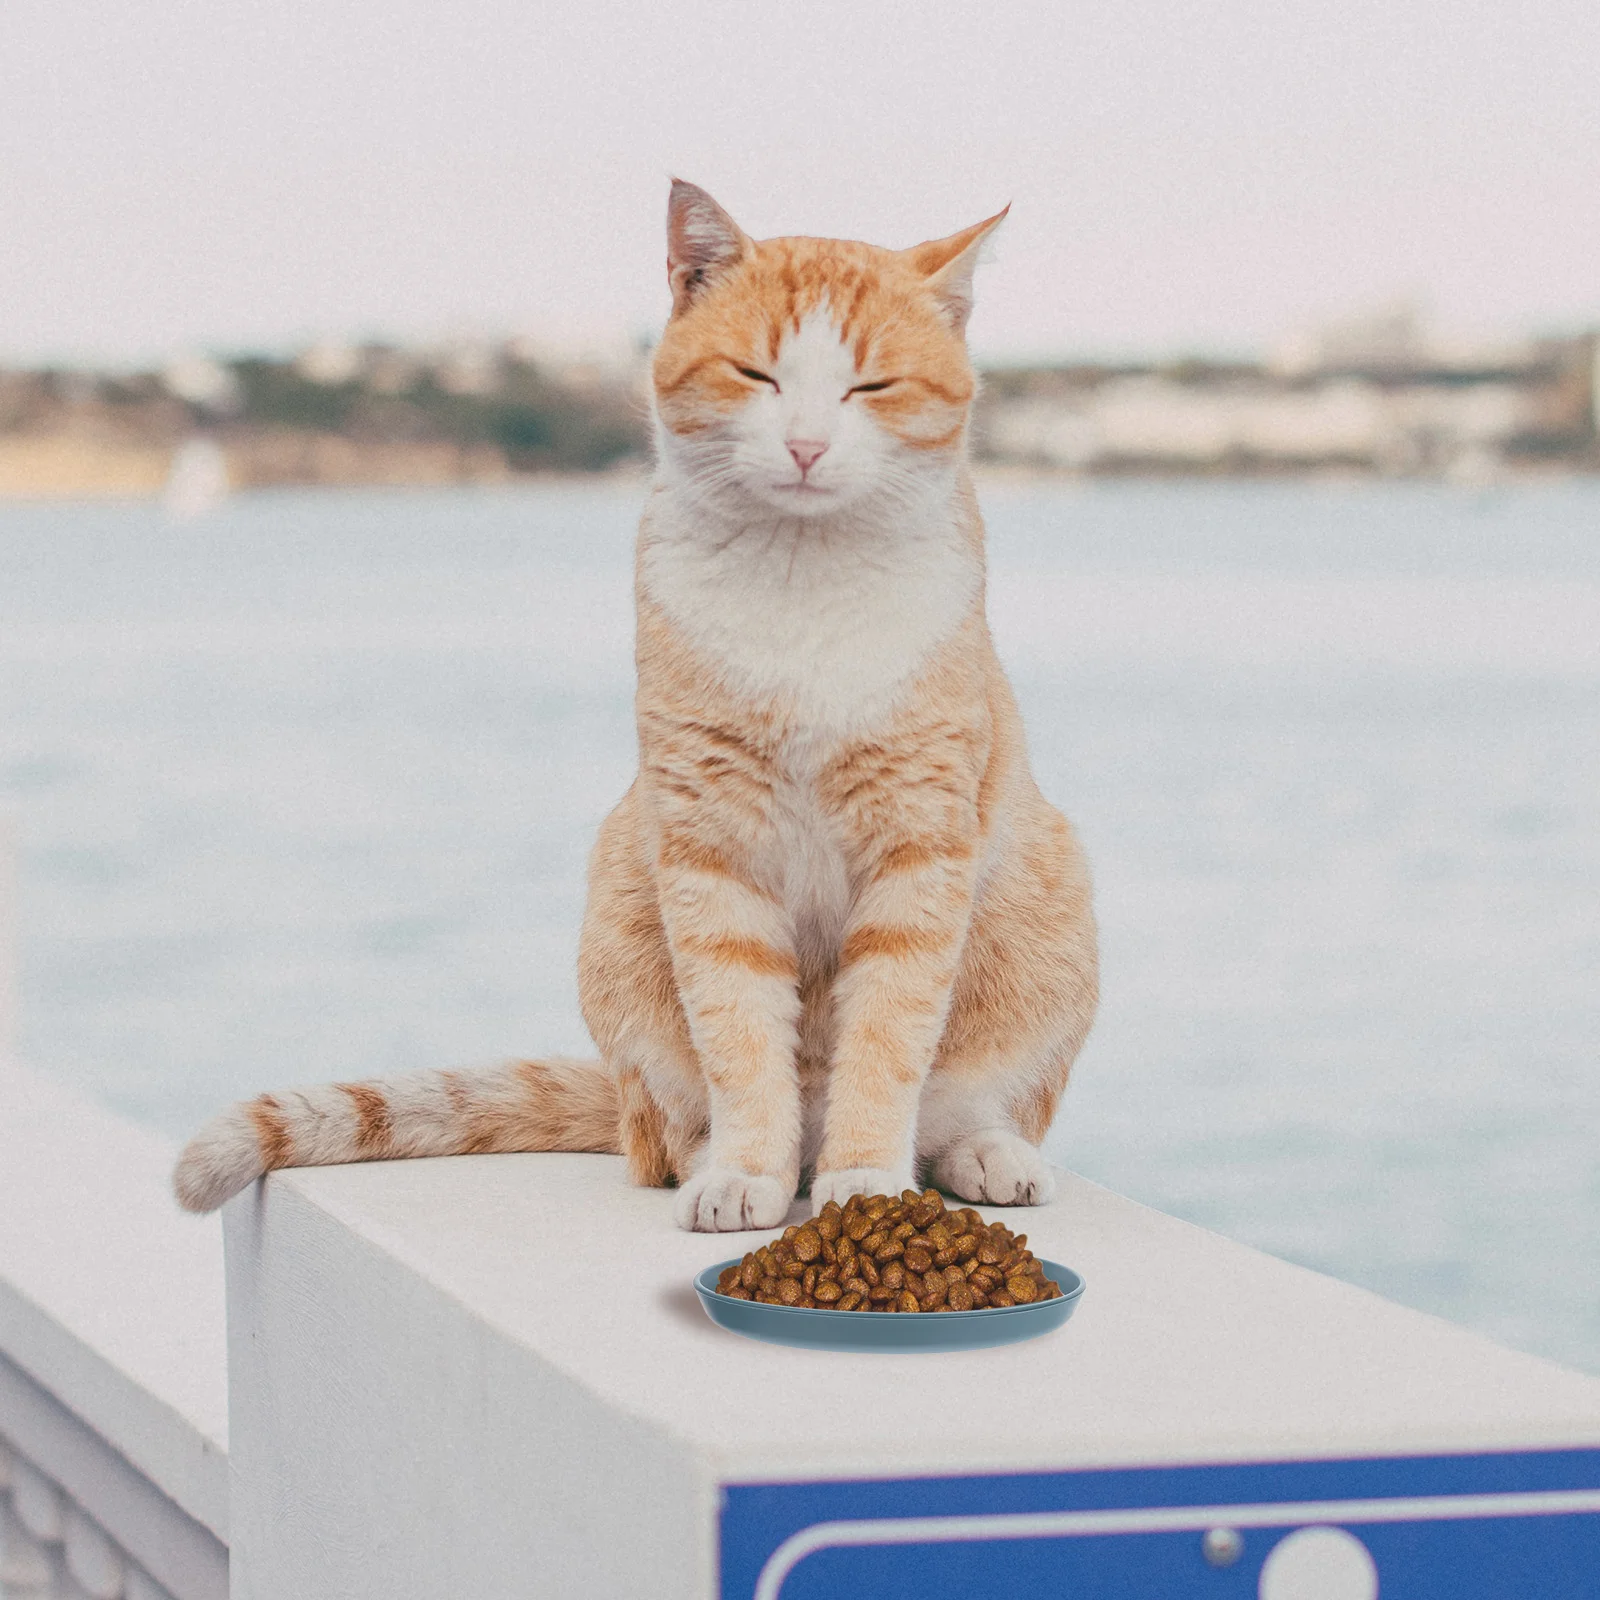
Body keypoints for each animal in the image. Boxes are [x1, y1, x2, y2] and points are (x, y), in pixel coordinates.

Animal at [175, 184, 1100, 1235]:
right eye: (756, 375)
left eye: (871, 387)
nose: (807, 446)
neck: (803, 580)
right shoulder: (708, 848)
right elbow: (739, 1037)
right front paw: (744, 1173)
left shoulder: (919, 847)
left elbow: (886, 1039)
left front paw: (865, 1181)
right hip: (623, 905)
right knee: (661, 1135)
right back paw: (729, 1161)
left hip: (1049, 913)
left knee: (960, 1111)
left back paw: (983, 1155)